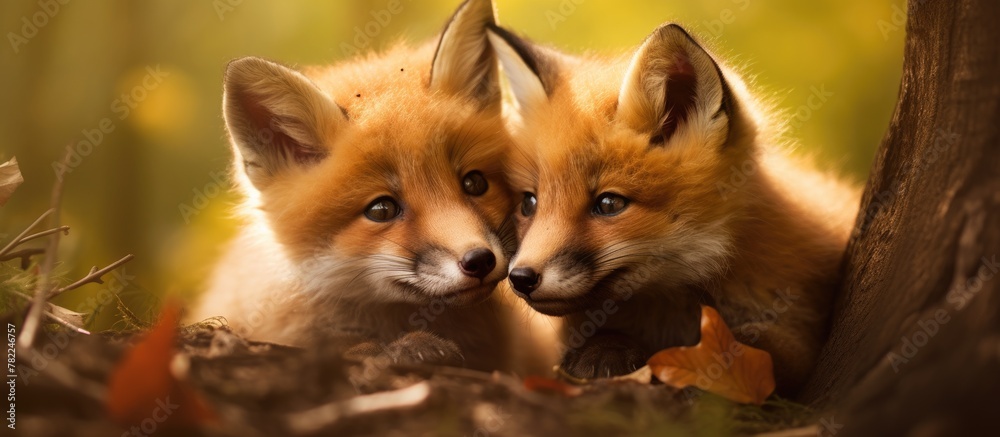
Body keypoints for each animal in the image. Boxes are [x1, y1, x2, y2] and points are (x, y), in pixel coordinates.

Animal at [487, 23, 860, 392]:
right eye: (529, 202)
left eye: (609, 204)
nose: (520, 277)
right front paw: (606, 350)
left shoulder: (800, 328)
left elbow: (754, 346)